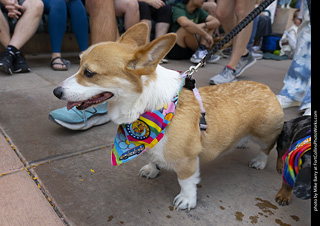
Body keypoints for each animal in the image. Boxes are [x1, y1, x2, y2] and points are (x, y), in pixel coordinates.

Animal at [53, 22, 284, 210]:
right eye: (79, 64)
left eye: (89, 73)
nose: (56, 92)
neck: (147, 108)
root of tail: (267, 89)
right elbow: (152, 157)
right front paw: (152, 169)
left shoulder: (187, 160)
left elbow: (186, 181)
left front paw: (187, 200)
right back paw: (242, 142)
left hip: (265, 134)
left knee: (266, 148)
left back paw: (259, 161)